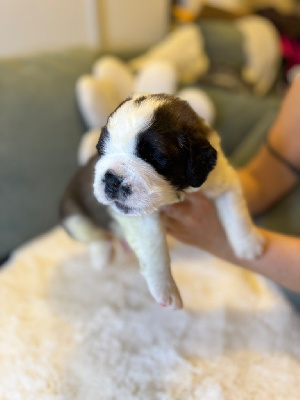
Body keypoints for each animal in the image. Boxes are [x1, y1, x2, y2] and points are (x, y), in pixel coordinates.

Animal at [59, 93, 264, 310]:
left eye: (154, 158)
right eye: (101, 150)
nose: (112, 179)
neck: (180, 192)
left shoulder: (223, 180)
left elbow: (236, 212)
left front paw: (248, 244)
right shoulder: (143, 221)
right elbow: (155, 251)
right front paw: (166, 291)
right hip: (74, 218)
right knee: (97, 237)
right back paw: (102, 256)